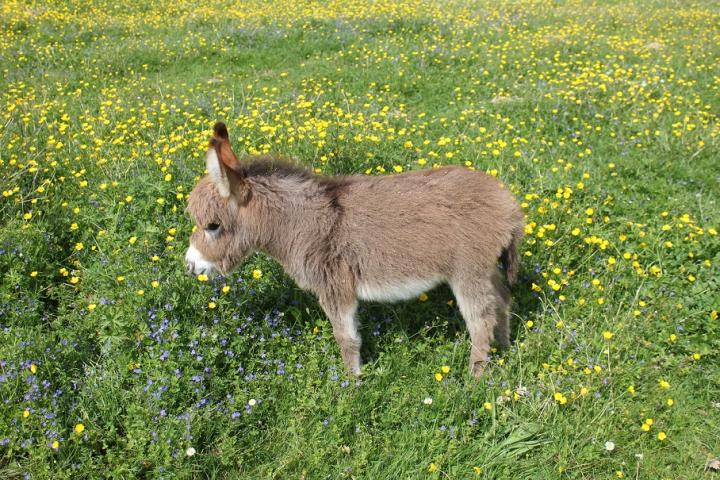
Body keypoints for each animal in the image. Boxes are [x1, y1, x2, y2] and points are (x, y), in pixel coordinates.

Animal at [186, 124, 524, 378]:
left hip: (468, 270)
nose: (190, 266)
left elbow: (346, 339)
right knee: (503, 300)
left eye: (213, 226)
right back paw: (506, 349)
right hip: (486, 268)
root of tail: (507, 202)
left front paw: (352, 385)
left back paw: (474, 379)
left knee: (480, 321)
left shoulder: (335, 287)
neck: (301, 223)